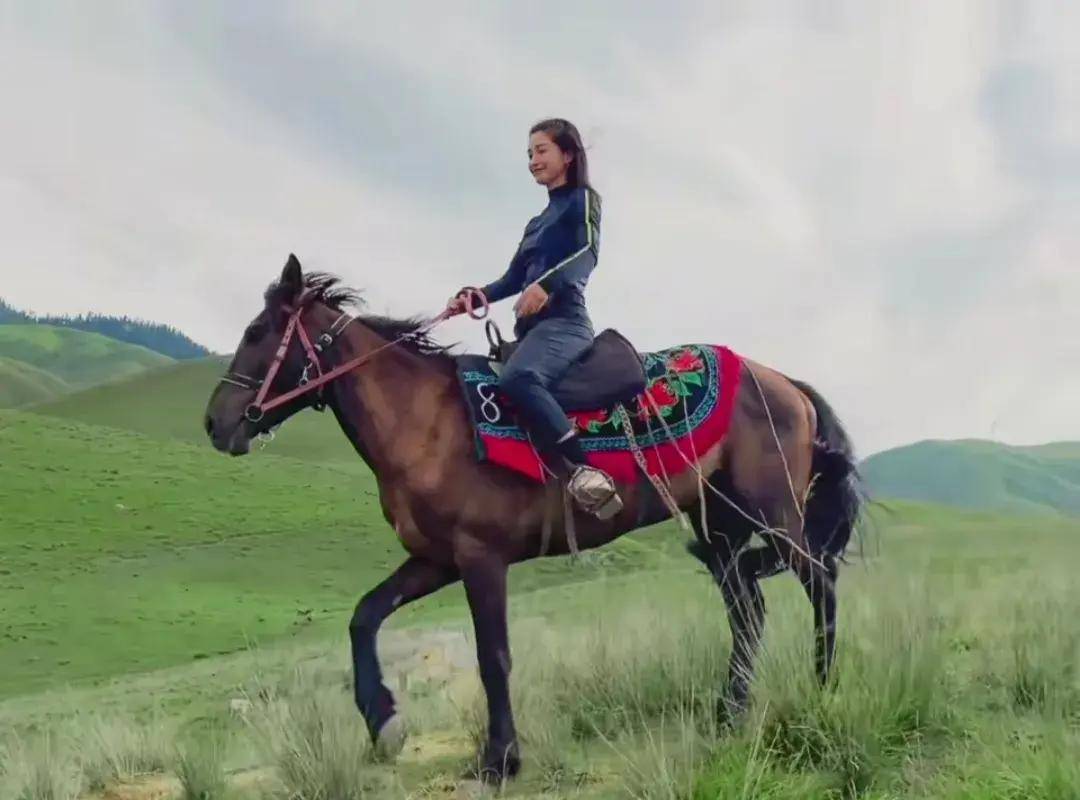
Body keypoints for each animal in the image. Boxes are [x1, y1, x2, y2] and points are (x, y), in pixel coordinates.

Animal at [203, 255, 859, 781]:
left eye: (257, 331)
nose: (215, 423)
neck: (425, 420)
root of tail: (785, 383)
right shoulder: (435, 559)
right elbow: (365, 617)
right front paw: (384, 723)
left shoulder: (480, 557)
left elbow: (493, 658)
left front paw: (500, 759)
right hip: (718, 526)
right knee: (748, 609)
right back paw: (729, 713)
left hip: (773, 514)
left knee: (818, 581)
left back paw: (822, 686)